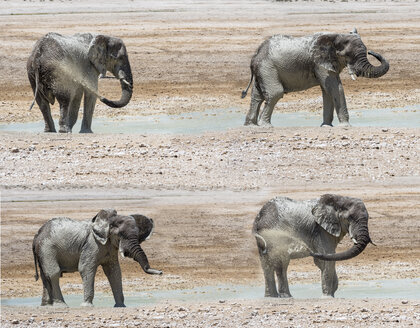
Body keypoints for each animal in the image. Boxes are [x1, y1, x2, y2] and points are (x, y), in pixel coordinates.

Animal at [32, 208, 161, 308]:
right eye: (120, 235)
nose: (160, 272)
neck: (109, 220)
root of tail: (37, 235)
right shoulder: (92, 244)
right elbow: (85, 268)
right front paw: (87, 307)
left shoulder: (110, 247)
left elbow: (114, 272)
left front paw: (120, 306)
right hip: (47, 248)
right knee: (53, 273)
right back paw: (61, 306)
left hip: (43, 250)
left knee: (45, 276)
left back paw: (46, 306)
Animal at [243, 29, 390, 127]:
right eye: (347, 55)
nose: (371, 52)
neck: (335, 36)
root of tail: (255, 55)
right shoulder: (319, 64)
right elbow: (335, 88)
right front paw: (346, 126)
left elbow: (328, 91)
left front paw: (326, 126)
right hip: (267, 68)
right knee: (275, 93)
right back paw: (265, 126)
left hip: (262, 70)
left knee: (257, 96)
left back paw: (251, 126)